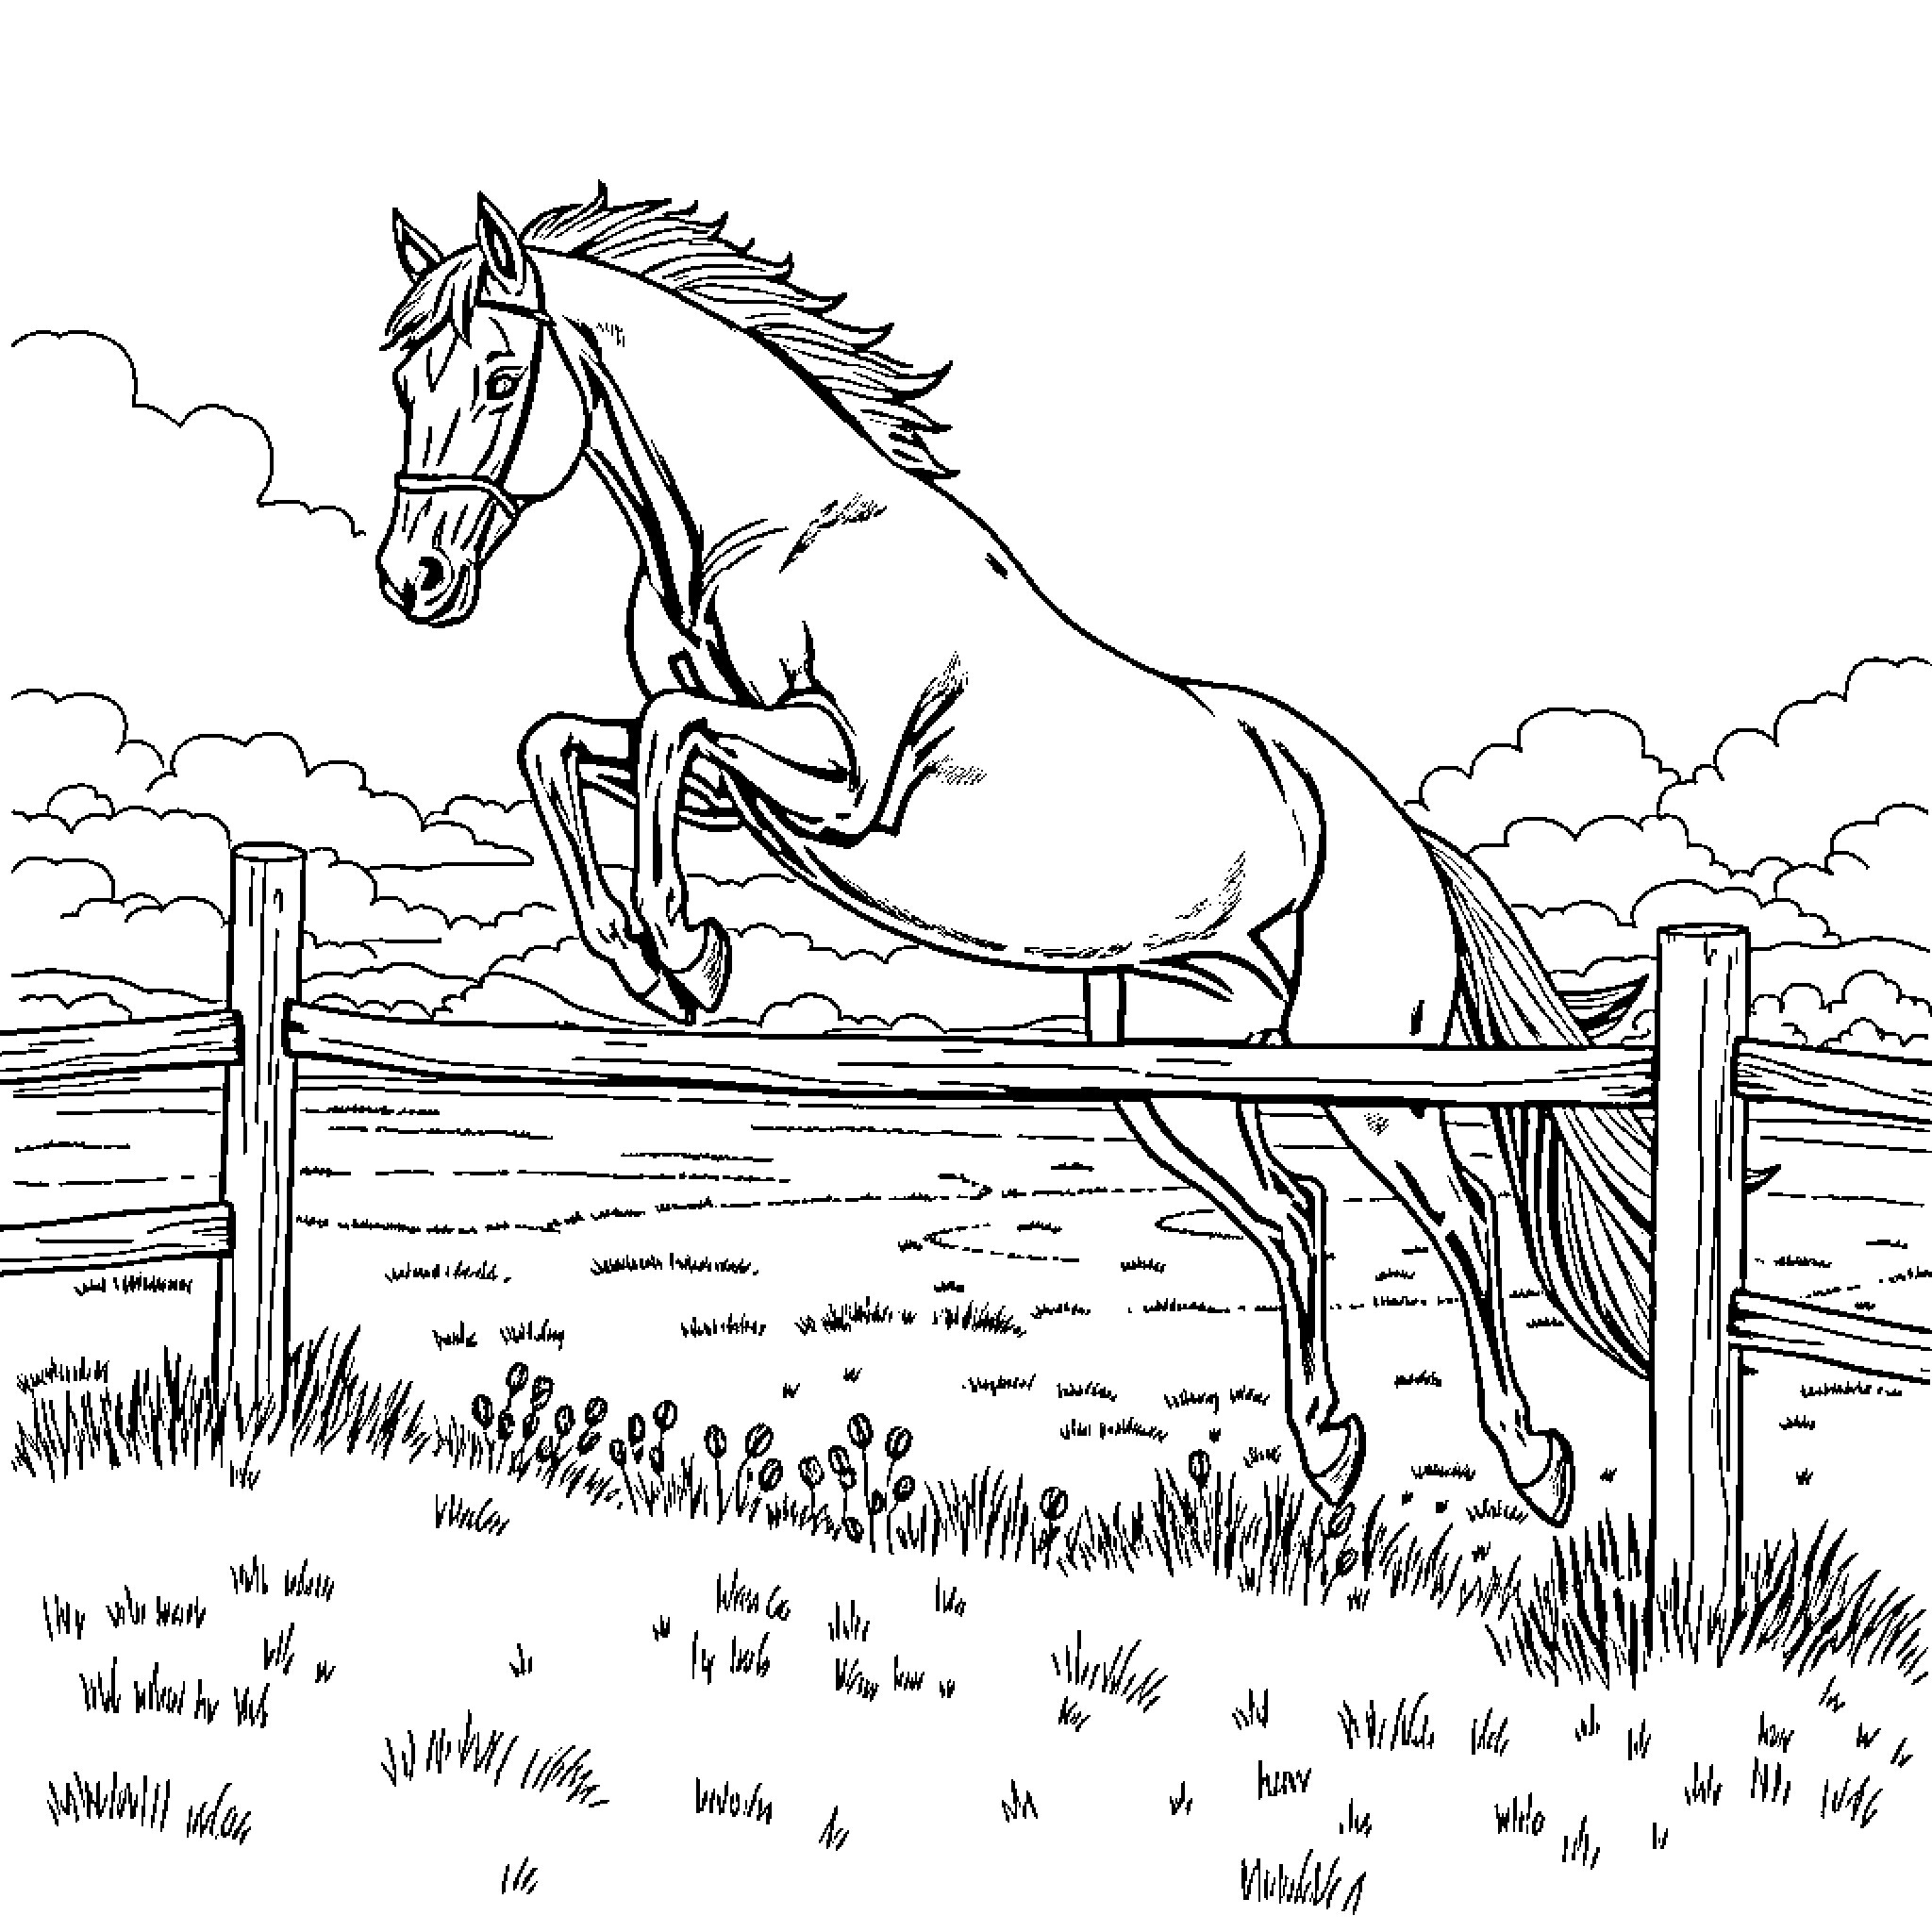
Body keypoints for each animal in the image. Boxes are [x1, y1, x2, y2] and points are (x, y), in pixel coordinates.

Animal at [374, 187, 1657, 1527]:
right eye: (405, 375)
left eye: (500, 372)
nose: (413, 577)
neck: (772, 536)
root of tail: (1392, 827)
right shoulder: (745, 793)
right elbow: (564, 744)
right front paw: (654, 962)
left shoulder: (842, 781)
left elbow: (667, 732)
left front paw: (685, 948)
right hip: (1173, 1075)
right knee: (1292, 1212)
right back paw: (1326, 1445)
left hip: (1360, 1061)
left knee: (1463, 1212)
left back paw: (1533, 1459)